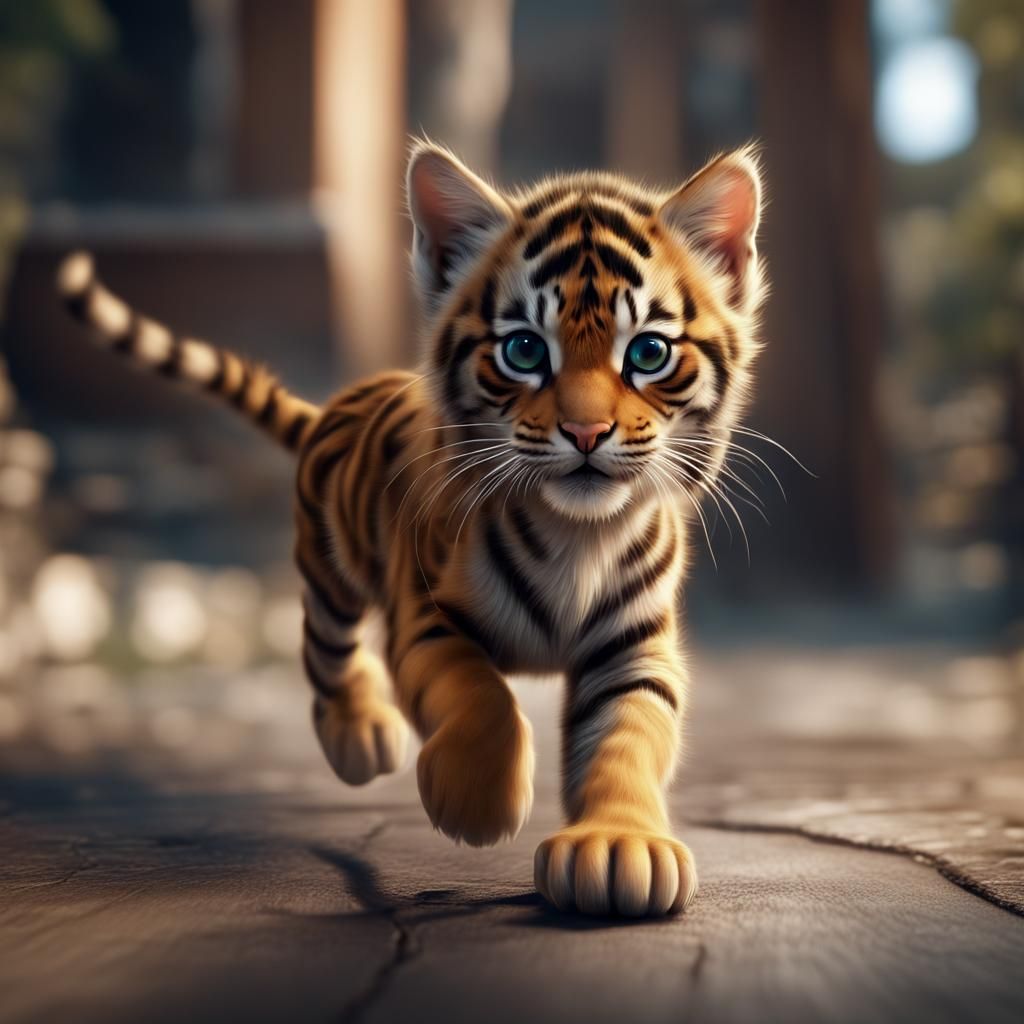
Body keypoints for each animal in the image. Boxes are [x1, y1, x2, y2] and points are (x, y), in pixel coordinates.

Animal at [57, 139, 765, 918]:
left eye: (647, 354)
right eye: (524, 351)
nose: (585, 433)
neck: (577, 536)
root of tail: (344, 401)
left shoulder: (633, 646)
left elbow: (629, 735)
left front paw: (617, 846)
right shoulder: (425, 612)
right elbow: (481, 695)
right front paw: (476, 803)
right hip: (330, 571)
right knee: (325, 647)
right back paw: (360, 734)